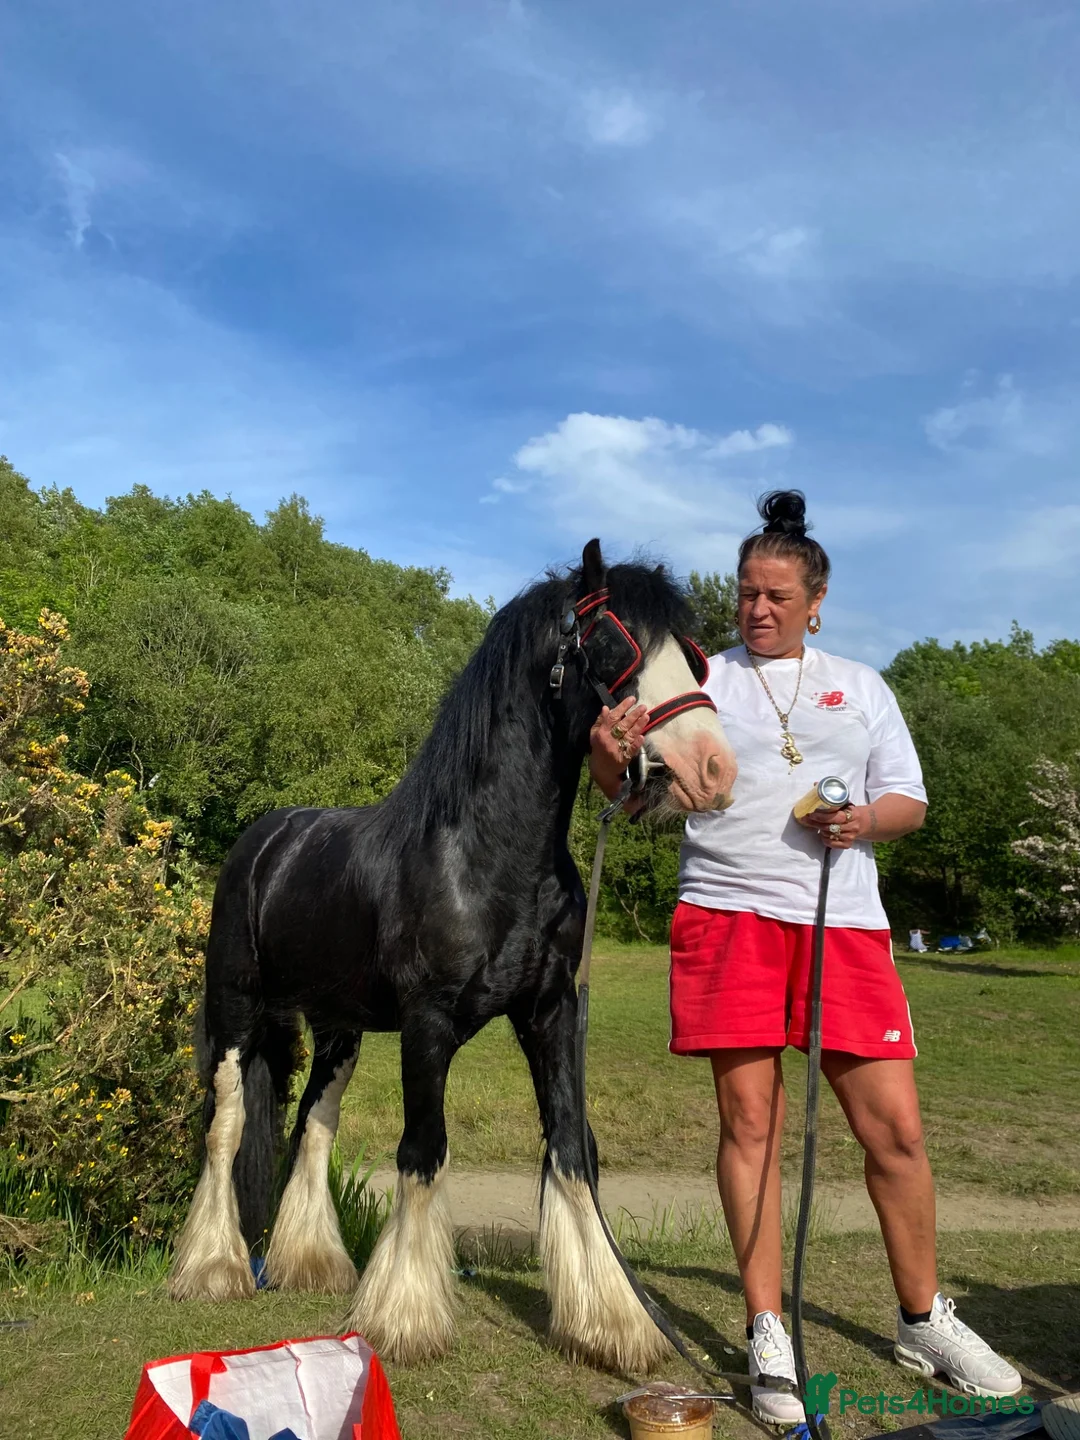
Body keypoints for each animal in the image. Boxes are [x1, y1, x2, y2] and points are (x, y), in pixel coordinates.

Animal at [168, 539, 738, 1374]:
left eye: (691, 654)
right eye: (614, 644)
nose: (712, 769)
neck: (487, 858)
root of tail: (266, 840)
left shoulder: (550, 1013)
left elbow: (573, 1148)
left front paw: (611, 1321)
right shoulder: (428, 1025)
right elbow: (423, 1151)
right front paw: (405, 1317)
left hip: (339, 1030)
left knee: (313, 1122)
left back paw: (312, 1263)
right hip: (237, 1012)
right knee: (228, 1126)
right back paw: (213, 1268)